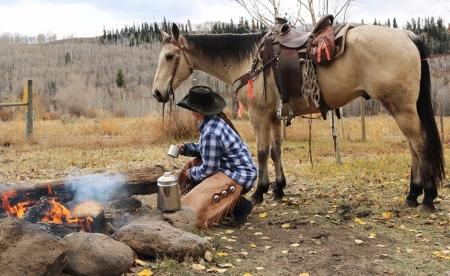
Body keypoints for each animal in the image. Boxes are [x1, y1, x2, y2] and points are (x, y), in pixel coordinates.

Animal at [152, 21, 446, 211]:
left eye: (170, 56)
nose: (157, 93)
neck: (250, 62)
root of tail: (406, 35)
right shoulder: (274, 117)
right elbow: (276, 151)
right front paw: (279, 189)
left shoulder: (259, 116)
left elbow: (261, 153)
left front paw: (260, 191)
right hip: (401, 108)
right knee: (413, 148)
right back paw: (412, 194)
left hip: (401, 108)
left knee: (420, 145)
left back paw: (427, 198)